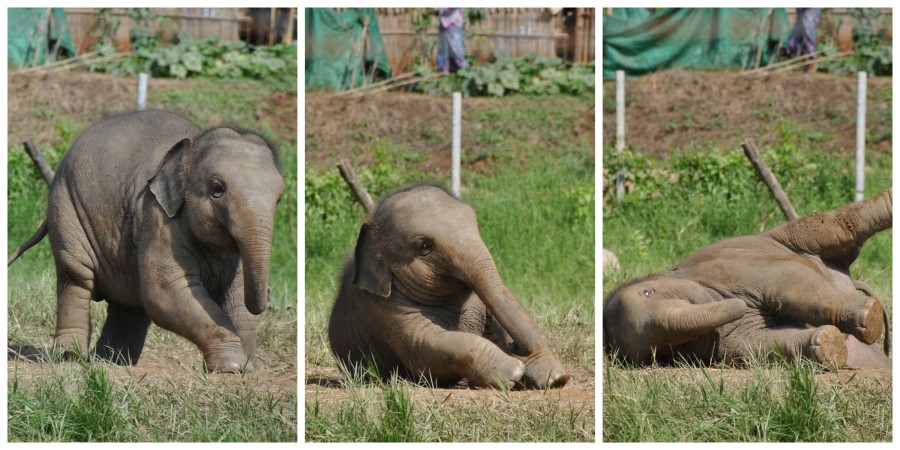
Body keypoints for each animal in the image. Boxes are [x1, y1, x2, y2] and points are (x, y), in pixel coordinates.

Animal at [11, 110, 284, 372]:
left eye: (279, 198)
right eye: (217, 188)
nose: (267, 302)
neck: (191, 147)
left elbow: (236, 294)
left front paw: (248, 367)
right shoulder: (158, 216)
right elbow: (166, 290)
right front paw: (231, 367)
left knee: (130, 301)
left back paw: (114, 362)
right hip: (66, 205)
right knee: (75, 276)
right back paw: (72, 357)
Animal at [328, 185, 568, 388]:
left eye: (476, 226)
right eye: (424, 246)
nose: (514, 347)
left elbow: (518, 310)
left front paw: (556, 379)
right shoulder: (383, 313)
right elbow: (427, 344)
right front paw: (513, 372)